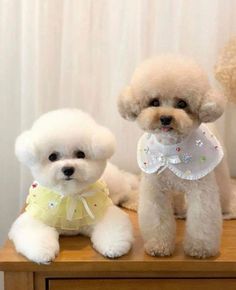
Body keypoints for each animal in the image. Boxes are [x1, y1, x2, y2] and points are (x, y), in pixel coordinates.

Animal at [8, 108, 133, 262]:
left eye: (80, 154)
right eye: (52, 157)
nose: (68, 169)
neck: (70, 197)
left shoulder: (102, 212)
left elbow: (113, 226)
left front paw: (113, 247)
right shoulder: (36, 217)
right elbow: (33, 232)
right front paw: (43, 252)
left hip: (114, 181)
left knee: (124, 190)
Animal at [118, 55, 227, 258]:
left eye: (182, 104)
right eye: (154, 102)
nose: (166, 118)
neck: (171, 150)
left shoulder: (201, 190)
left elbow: (202, 220)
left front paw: (200, 249)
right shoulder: (155, 190)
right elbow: (158, 219)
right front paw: (159, 246)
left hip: (220, 170)